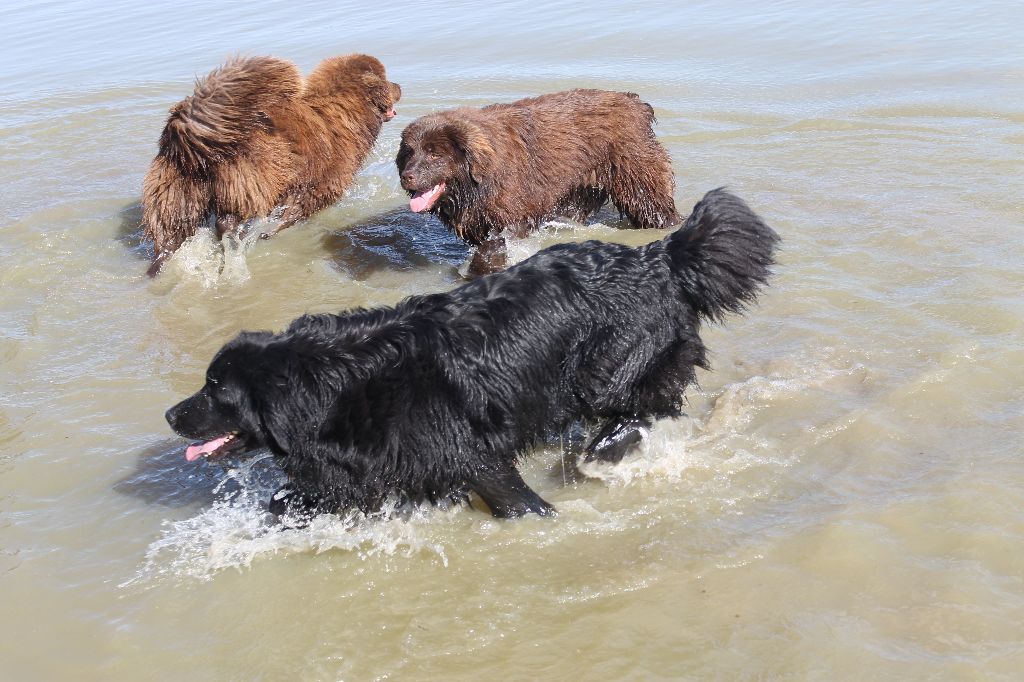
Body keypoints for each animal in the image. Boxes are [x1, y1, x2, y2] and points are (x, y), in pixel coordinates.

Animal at [144, 53, 399, 274]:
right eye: (386, 79)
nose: (399, 86)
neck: (341, 110)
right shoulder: (320, 184)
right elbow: (293, 212)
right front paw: (267, 232)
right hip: (251, 181)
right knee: (227, 222)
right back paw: (234, 246)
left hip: (175, 194)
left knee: (169, 234)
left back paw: (158, 266)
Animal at [165, 188, 774, 518]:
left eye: (216, 389)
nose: (171, 414)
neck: (336, 385)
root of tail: (659, 256)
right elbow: (295, 499)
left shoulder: (474, 456)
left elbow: (518, 501)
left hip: (610, 367)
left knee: (646, 404)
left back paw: (601, 450)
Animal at [395, 88, 675, 274]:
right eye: (409, 152)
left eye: (434, 153)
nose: (407, 176)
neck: (479, 181)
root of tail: (635, 102)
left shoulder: (512, 218)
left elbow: (490, 250)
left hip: (640, 185)